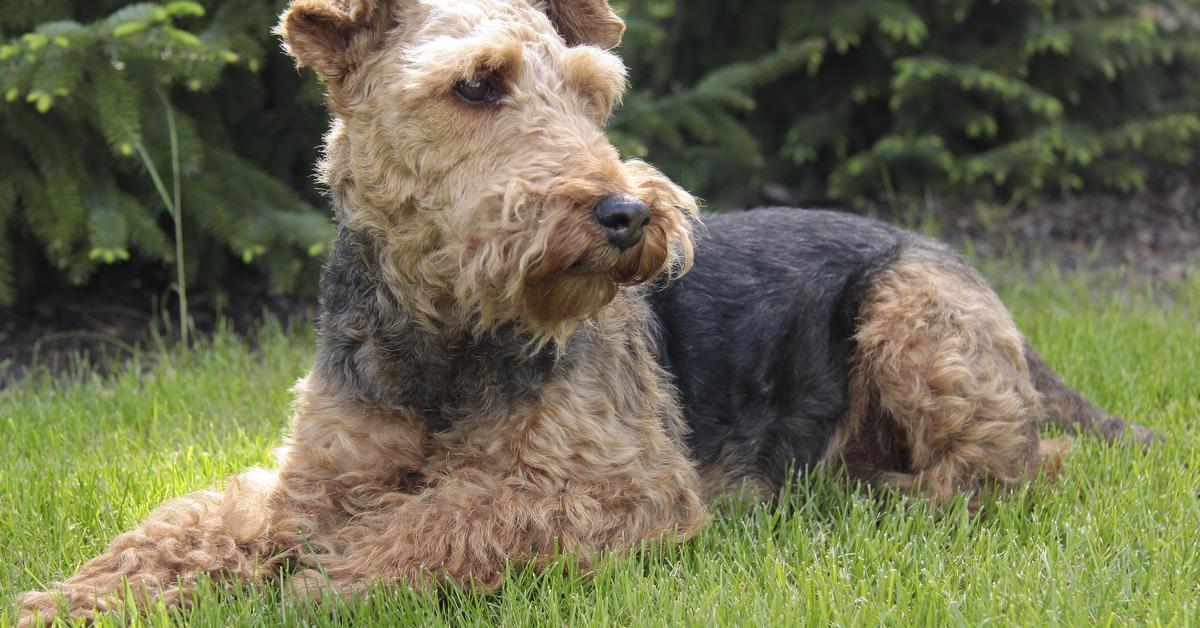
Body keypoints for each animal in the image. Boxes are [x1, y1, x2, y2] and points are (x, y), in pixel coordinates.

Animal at [11, 1, 1152, 624]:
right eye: (478, 84)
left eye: (592, 92)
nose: (625, 213)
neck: (443, 333)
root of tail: (947, 251)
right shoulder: (313, 478)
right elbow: (191, 525)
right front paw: (70, 599)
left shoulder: (613, 486)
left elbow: (446, 517)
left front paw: (318, 584)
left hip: (916, 327)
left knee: (1007, 471)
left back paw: (853, 495)